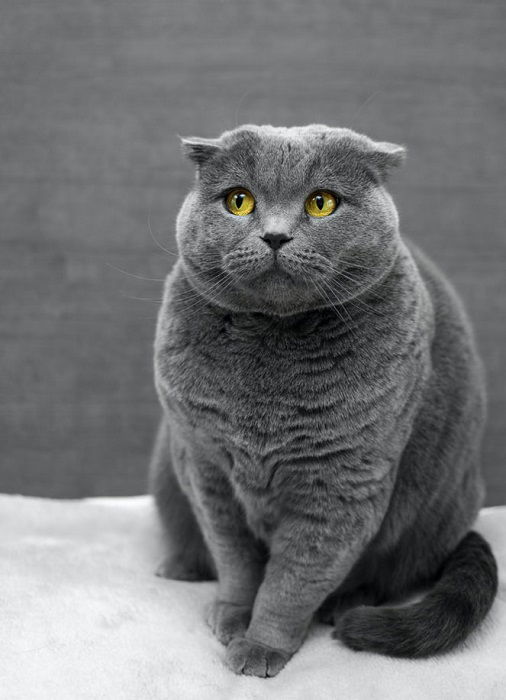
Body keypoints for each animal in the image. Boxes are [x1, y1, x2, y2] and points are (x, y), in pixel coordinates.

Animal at [150, 124, 498, 680]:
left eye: (322, 202)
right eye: (238, 200)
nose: (274, 235)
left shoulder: (341, 484)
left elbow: (293, 580)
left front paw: (260, 645)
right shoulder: (205, 467)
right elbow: (235, 559)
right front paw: (232, 615)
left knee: (391, 573)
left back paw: (344, 606)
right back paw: (181, 566)